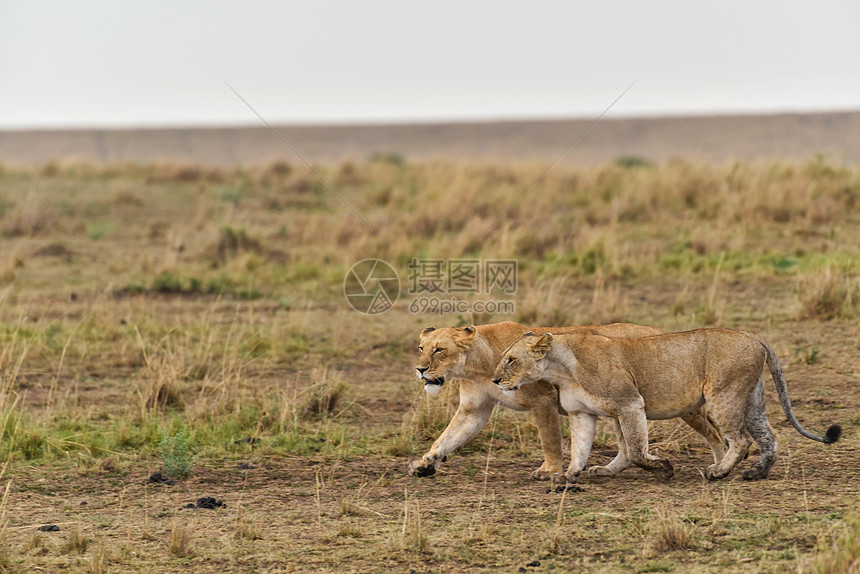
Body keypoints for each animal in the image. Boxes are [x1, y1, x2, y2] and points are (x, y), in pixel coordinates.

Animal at [408, 324, 724, 482]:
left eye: (440, 350)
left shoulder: (543, 401)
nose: (420, 369)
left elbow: (550, 440)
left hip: (680, 403)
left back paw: (720, 465)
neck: (477, 366)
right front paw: (425, 464)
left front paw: (549, 470)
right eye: (421, 348)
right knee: (628, 445)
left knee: (716, 433)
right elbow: (446, 438)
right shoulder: (473, 411)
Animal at [490, 328, 840, 482]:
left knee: (740, 440)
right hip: (751, 400)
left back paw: (718, 472)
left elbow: (634, 448)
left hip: (723, 396)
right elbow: (582, 447)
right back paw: (756, 473)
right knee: (769, 438)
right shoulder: (582, 413)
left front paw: (664, 468)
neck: (560, 368)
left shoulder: (630, 402)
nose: (494, 380)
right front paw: (571, 474)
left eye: (511, 359)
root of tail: (754, 336)